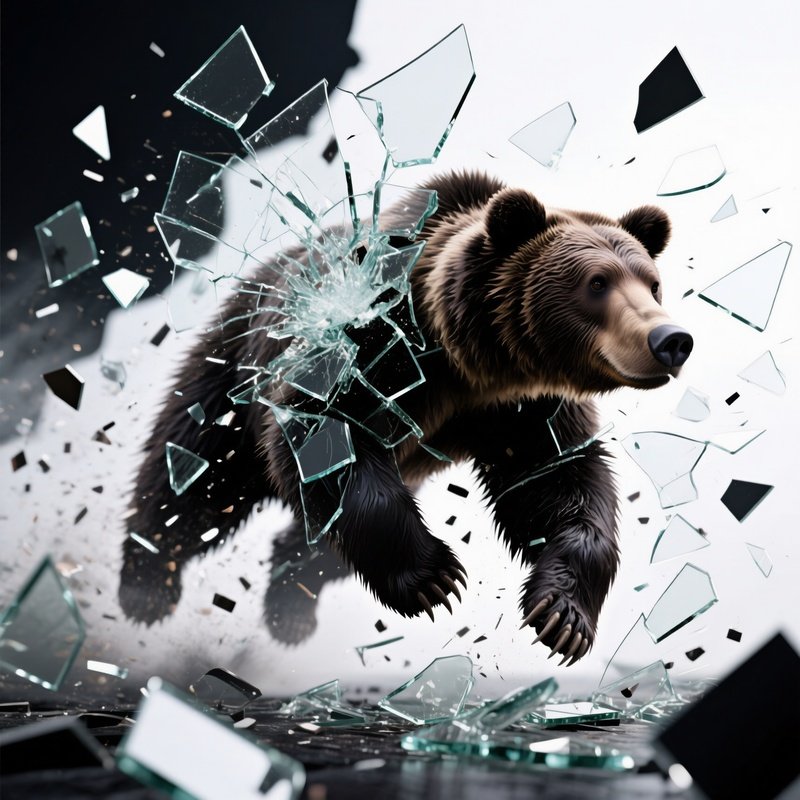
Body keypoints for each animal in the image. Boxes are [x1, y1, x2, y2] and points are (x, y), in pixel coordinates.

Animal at [119, 170, 692, 664]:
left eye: (652, 283)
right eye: (596, 283)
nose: (670, 339)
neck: (466, 361)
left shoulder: (521, 410)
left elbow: (561, 483)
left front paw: (562, 617)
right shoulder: (376, 341)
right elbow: (324, 431)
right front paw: (434, 578)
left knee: (312, 545)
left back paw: (289, 610)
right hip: (235, 362)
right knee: (195, 474)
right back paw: (145, 587)